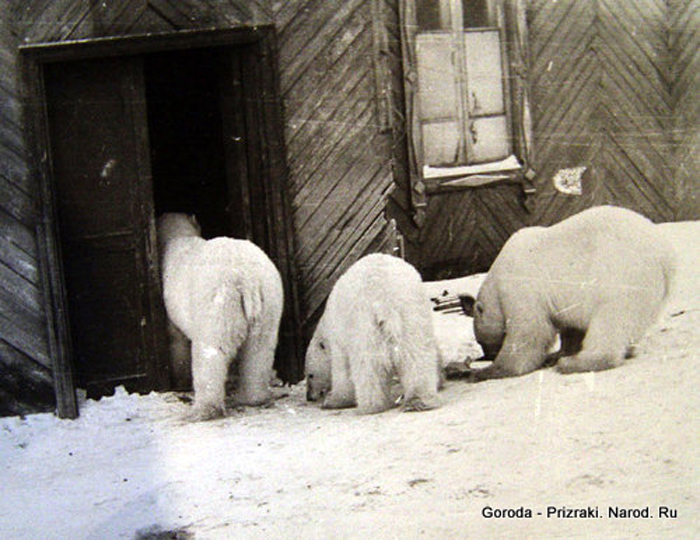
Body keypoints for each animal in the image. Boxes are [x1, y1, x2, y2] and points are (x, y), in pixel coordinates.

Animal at [157, 213, 284, 420]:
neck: (179, 236)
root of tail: (246, 277)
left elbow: (176, 340)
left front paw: (180, 380)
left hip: (218, 300)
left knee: (211, 349)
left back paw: (204, 409)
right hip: (269, 297)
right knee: (260, 347)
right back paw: (252, 397)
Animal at [304, 253, 440, 414]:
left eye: (310, 375)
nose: (309, 397)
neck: (326, 324)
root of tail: (382, 296)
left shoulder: (339, 335)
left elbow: (342, 370)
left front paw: (333, 400)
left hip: (363, 321)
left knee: (368, 364)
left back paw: (371, 405)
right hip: (411, 310)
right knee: (416, 354)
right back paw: (418, 400)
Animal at [462, 205, 676, 382]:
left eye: (481, 341)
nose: (486, 355)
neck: (496, 280)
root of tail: (665, 257)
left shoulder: (519, 287)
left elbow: (530, 331)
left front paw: (486, 371)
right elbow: (570, 327)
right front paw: (558, 353)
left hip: (620, 273)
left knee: (610, 321)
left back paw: (575, 363)